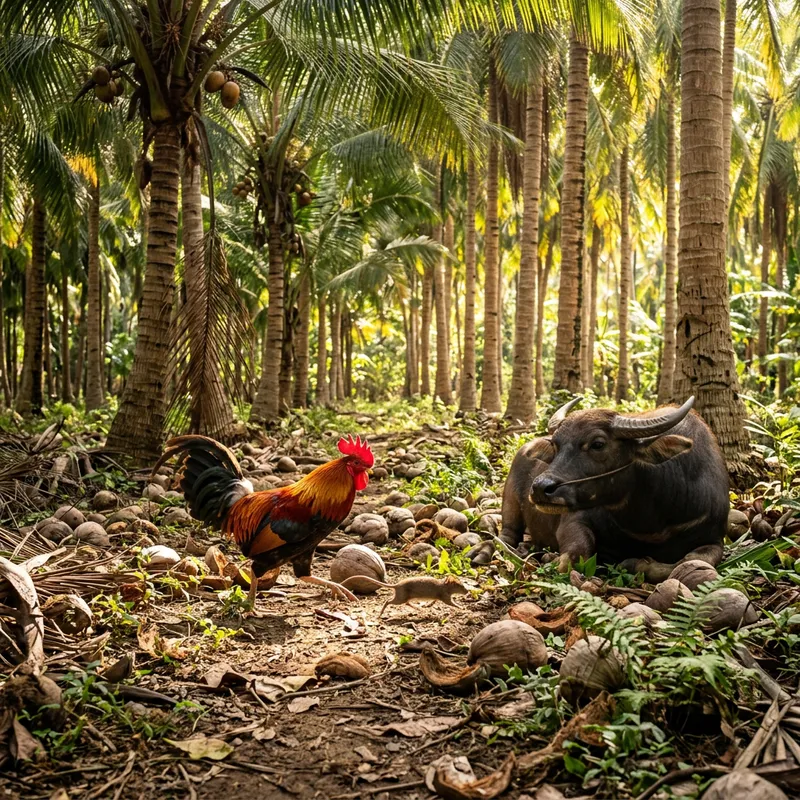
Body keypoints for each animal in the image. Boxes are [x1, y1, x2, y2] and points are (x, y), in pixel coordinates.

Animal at [470, 397, 729, 581]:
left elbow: (690, 562)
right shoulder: (573, 519)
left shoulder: (715, 538)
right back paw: (484, 551)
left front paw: (636, 563)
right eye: (556, 445)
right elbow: (577, 553)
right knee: (505, 536)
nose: (541, 488)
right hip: (511, 501)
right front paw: (553, 558)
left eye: (598, 444)